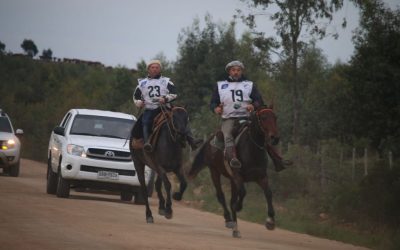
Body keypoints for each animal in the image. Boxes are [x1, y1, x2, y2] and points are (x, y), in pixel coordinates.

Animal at [188, 106, 278, 238]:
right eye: (263, 117)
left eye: (275, 117)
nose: (274, 138)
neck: (252, 150)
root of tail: (210, 139)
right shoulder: (237, 176)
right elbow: (242, 193)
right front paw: (238, 207)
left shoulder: (261, 177)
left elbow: (269, 193)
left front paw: (270, 221)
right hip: (214, 171)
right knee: (221, 196)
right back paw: (229, 220)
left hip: (231, 180)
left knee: (231, 200)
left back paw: (235, 229)